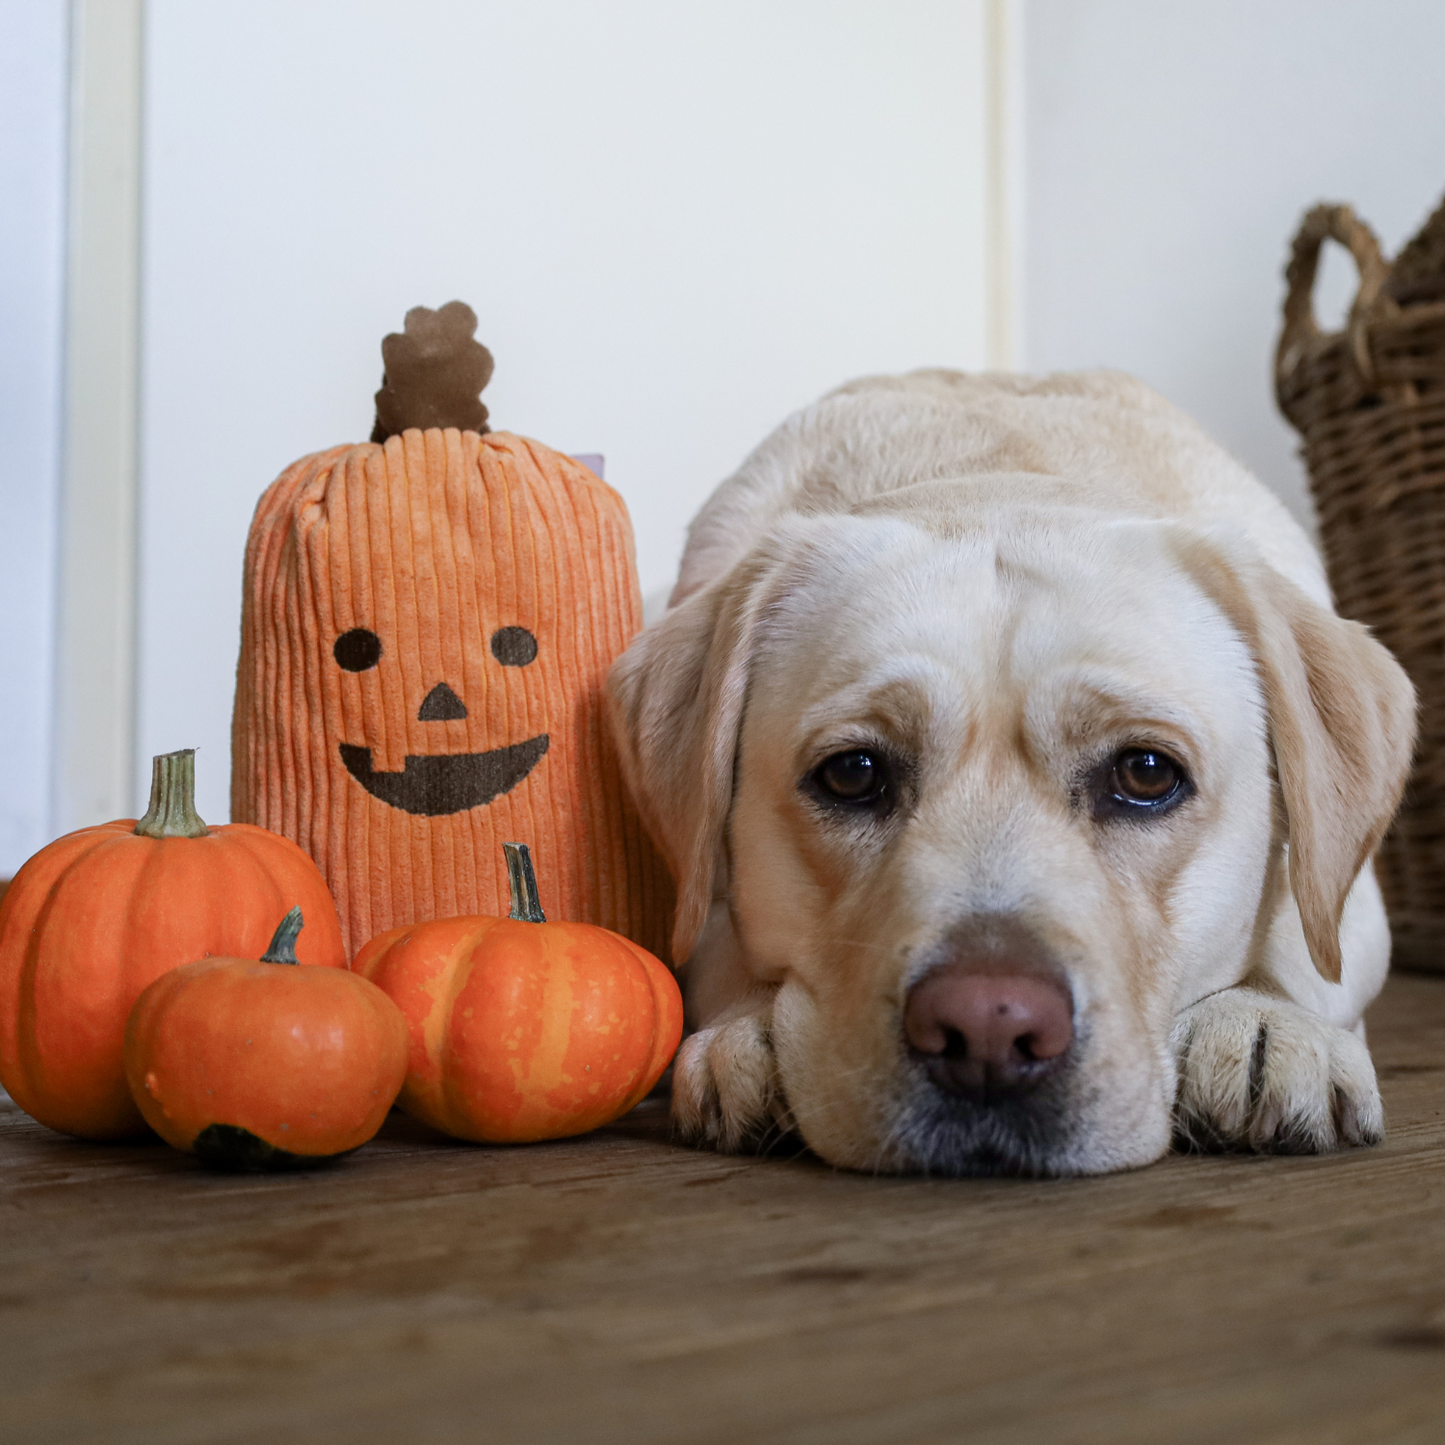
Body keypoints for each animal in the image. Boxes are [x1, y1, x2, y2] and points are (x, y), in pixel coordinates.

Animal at [606, 369, 1410, 1173]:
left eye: (1147, 773)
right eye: (853, 773)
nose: (988, 1028)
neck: (994, 468)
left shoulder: (1357, 902)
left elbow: (1308, 940)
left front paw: (1261, 1019)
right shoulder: (690, 898)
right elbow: (713, 946)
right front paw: (753, 1032)